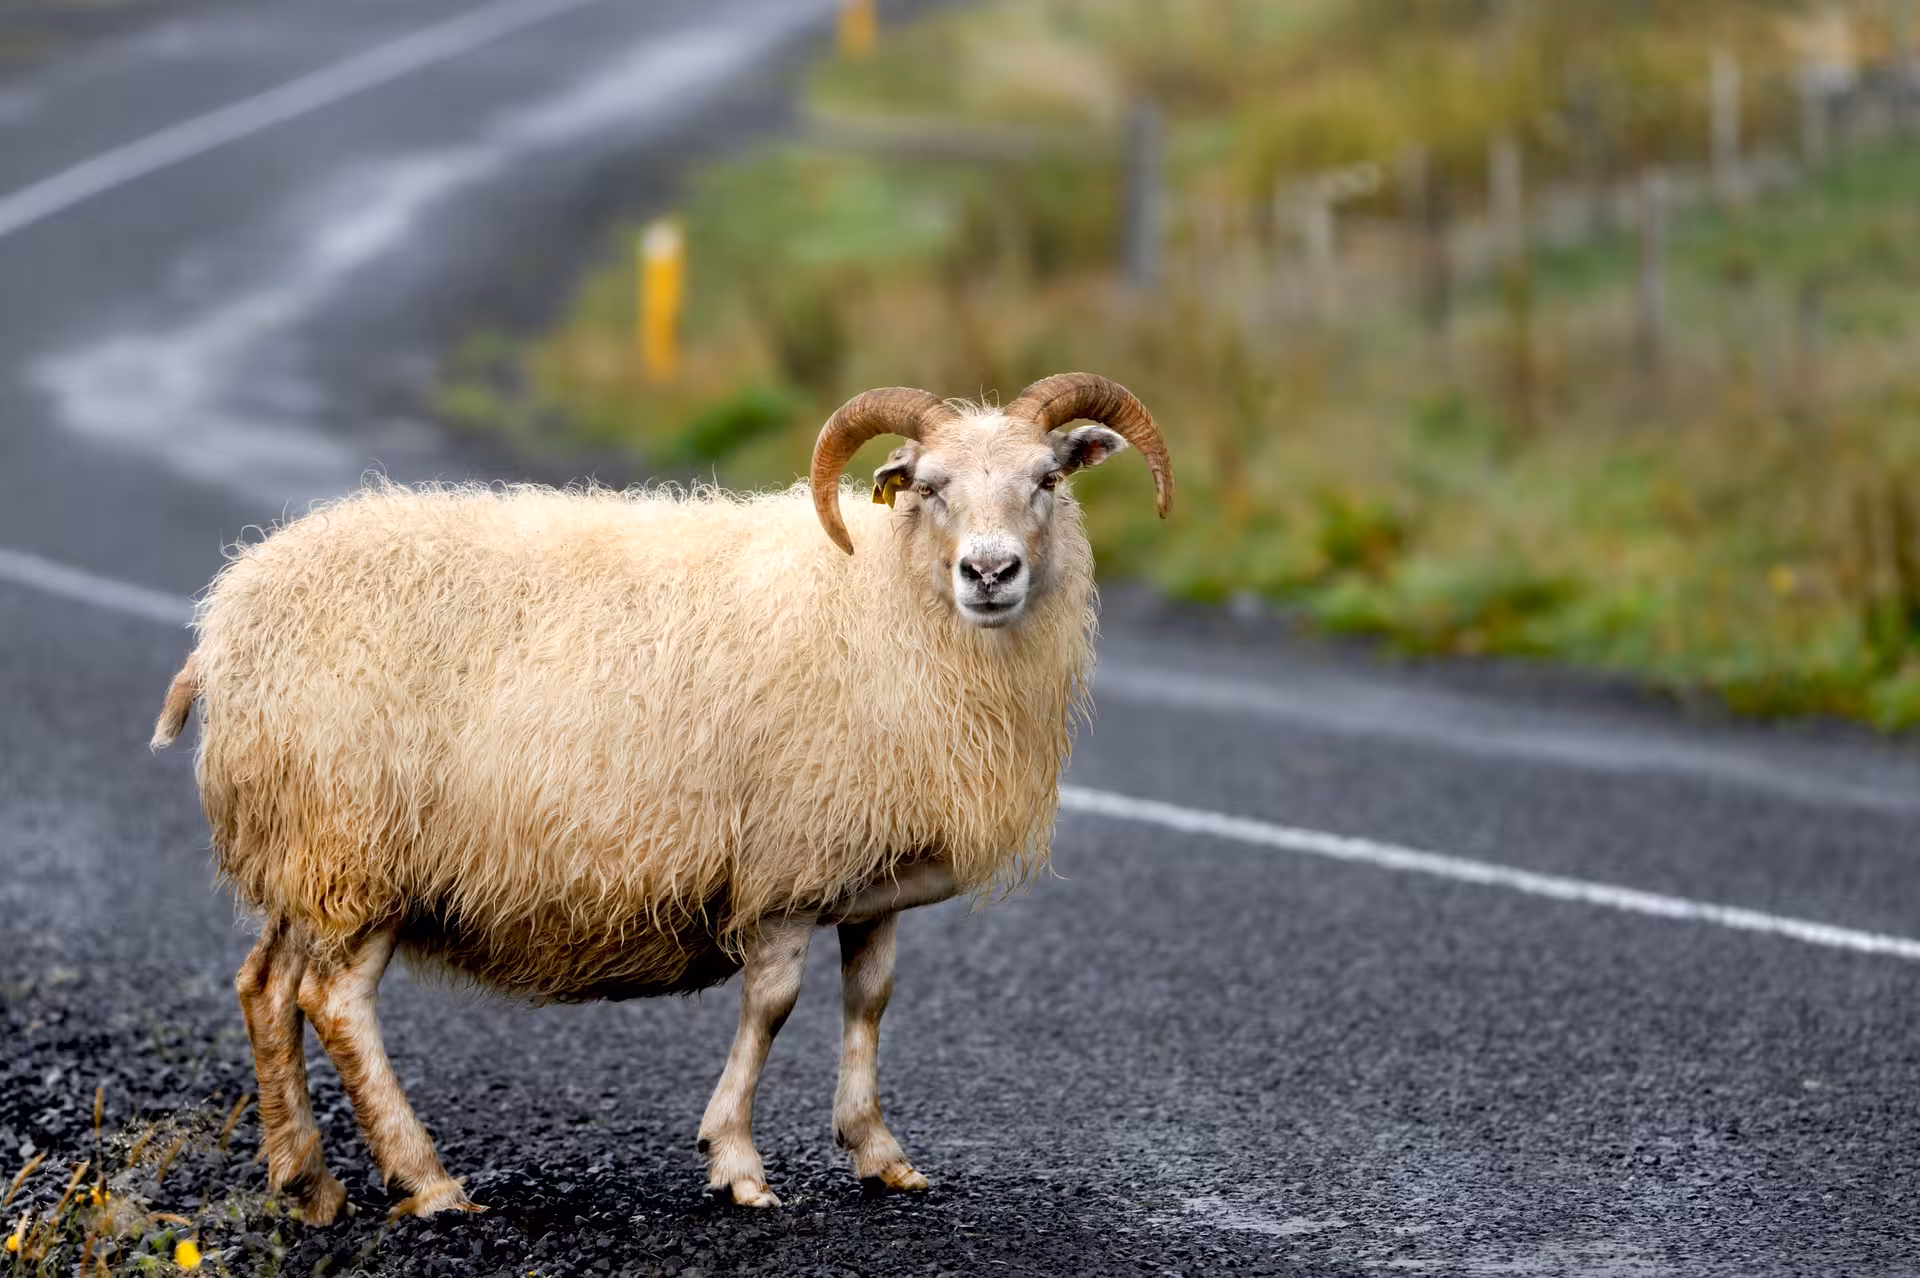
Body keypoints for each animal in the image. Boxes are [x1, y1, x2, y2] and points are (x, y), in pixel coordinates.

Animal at [150, 372, 1172, 1221]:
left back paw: (307, 1183)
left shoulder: (867, 873)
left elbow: (870, 1003)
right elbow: (773, 1008)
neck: (887, 596)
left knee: (265, 986)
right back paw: (427, 1181)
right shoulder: (785, 868)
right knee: (332, 1002)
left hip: (303, 851)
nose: (990, 573)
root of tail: (228, 620)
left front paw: (878, 1152)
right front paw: (739, 1164)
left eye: (1047, 479)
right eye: (927, 486)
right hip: (355, 843)